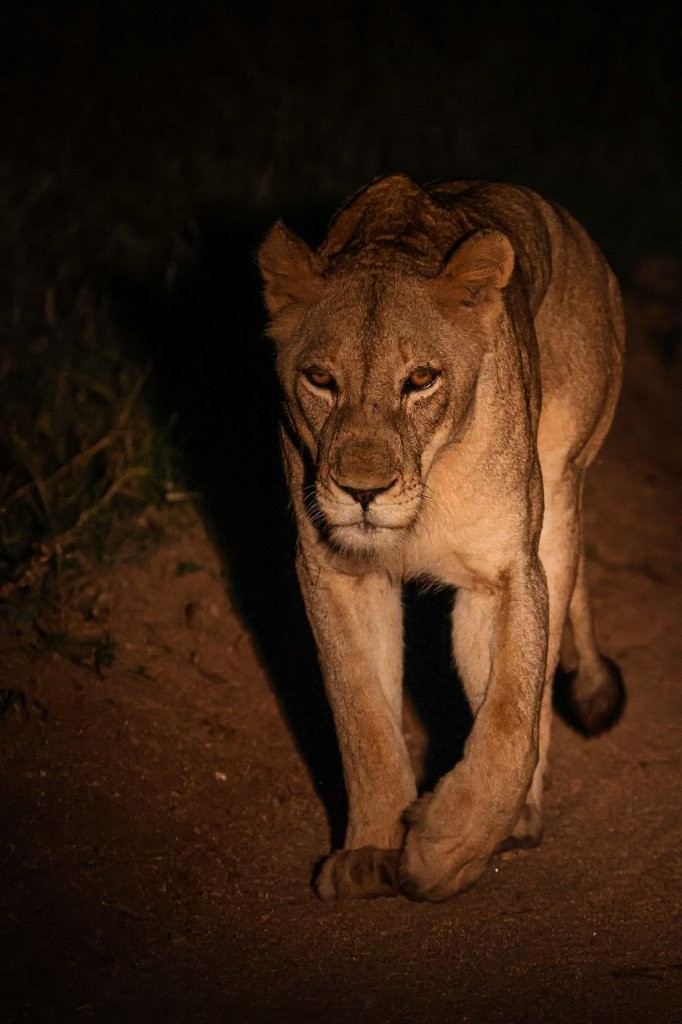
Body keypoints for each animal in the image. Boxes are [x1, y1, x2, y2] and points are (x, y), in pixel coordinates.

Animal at [257, 174, 625, 902]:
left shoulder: (505, 571)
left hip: (560, 494)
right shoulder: (333, 569)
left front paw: (443, 850)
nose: (362, 492)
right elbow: (363, 719)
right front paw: (369, 852)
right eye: (321, 379)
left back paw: (518, 821)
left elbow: (508, 722)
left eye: (421, 380)